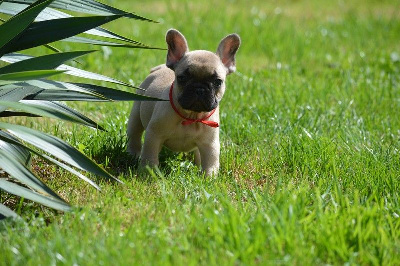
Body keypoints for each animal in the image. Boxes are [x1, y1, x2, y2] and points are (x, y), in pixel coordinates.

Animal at [127, 29, 241, 176]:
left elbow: (211, 163)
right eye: (182, 78)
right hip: (136, 116)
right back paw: (133, 154)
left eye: (218, 82)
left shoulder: (210, 144)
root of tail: (160, 68)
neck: (191, 116)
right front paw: (148, 173)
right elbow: (150, 156)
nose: (199, 89)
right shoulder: (154, 135)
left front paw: (209, 177)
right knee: (134, 134)